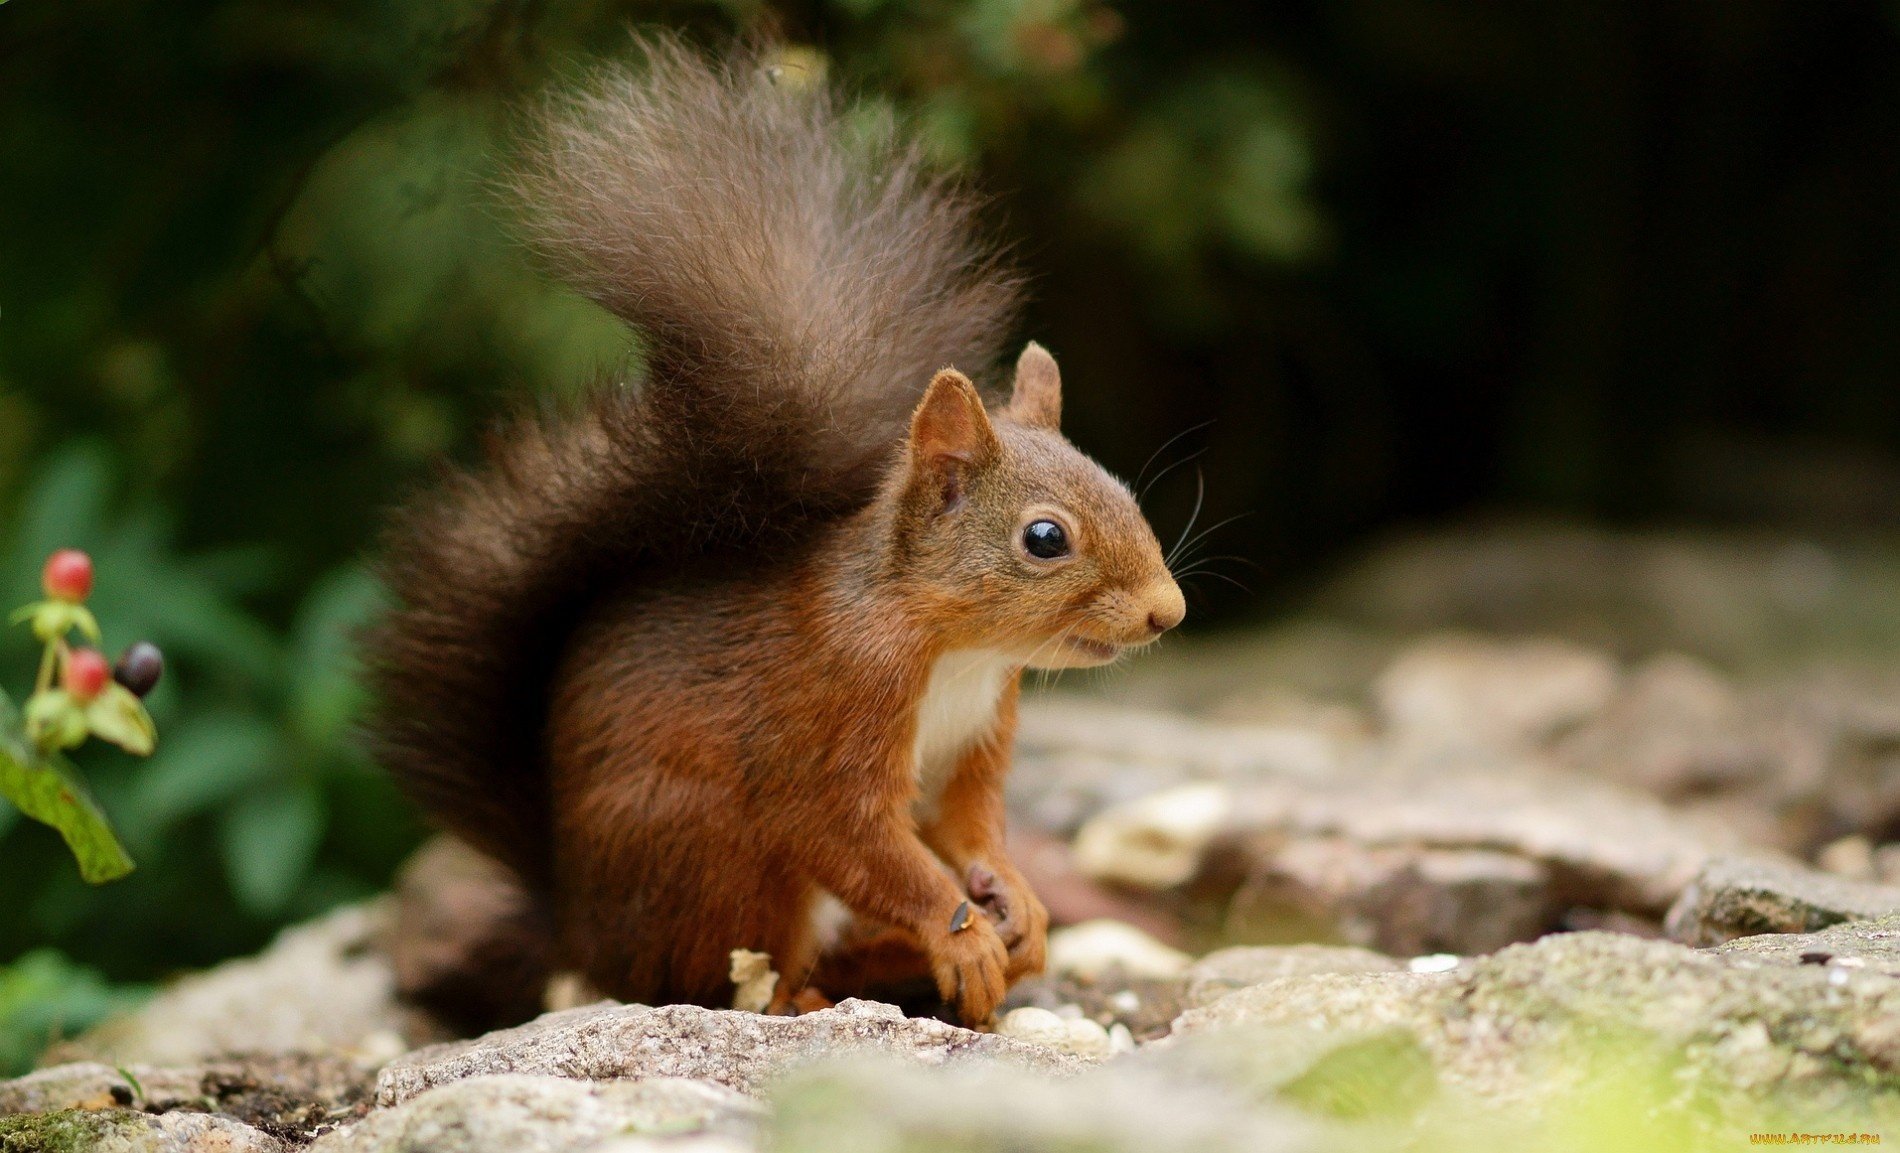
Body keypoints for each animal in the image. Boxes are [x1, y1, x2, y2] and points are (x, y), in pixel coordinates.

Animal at [365, 36, 1184, 1028]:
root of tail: (582, 928)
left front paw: (1014, 898)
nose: (1168, 612)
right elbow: (858, 838)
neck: (952, 644)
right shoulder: (832, 716)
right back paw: (808, 991)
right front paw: (959, 931)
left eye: (1123, 489)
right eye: (1045, 539)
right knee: (725, 976)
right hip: (719, 859)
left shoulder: (979, 735)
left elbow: (967, 827)